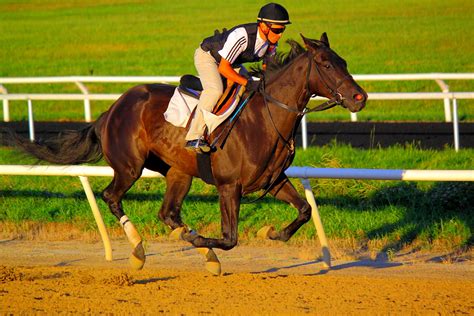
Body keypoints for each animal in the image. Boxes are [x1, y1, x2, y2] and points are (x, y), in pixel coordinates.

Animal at [10, 32, 366, 274]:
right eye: (325, 64)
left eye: (344, 62)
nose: (359, 97)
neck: (266, 118)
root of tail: (111, 109)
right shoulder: (229, 186)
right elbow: (229, 237)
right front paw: (202, 242)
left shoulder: (274, 180)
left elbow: (305, 210)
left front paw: (271, 232)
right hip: (130, 166)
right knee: (112, 197)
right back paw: (139, 251)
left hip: (178, 172)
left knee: (169, 213)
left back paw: (200, 253)